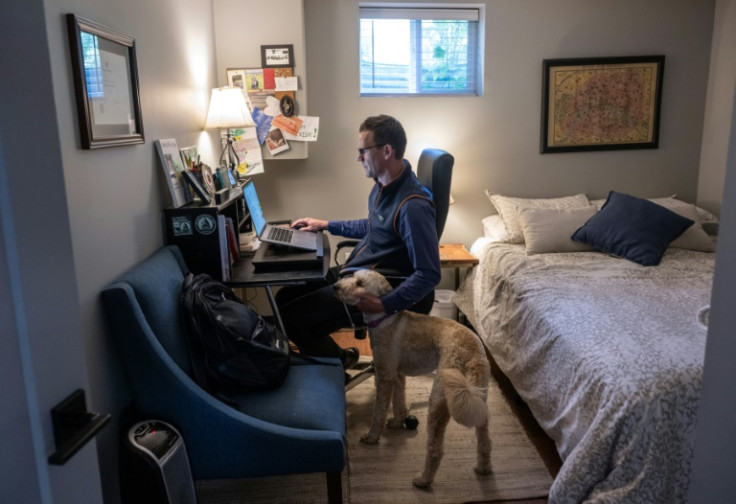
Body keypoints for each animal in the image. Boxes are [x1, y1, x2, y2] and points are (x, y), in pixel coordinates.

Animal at [336, 272, 492, 488]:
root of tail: (472, 351)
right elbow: (399, 402)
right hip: (479, 398)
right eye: (352, 276)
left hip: (439, 400)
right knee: (485, 440)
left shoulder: (384, 376)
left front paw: (372, 437)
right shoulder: (397, 375)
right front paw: (397, 422)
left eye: (360, 283)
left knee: (435, 450)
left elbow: (378, 412)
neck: (386, 319)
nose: (334, 286)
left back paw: (423, 480)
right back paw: (483, 468)